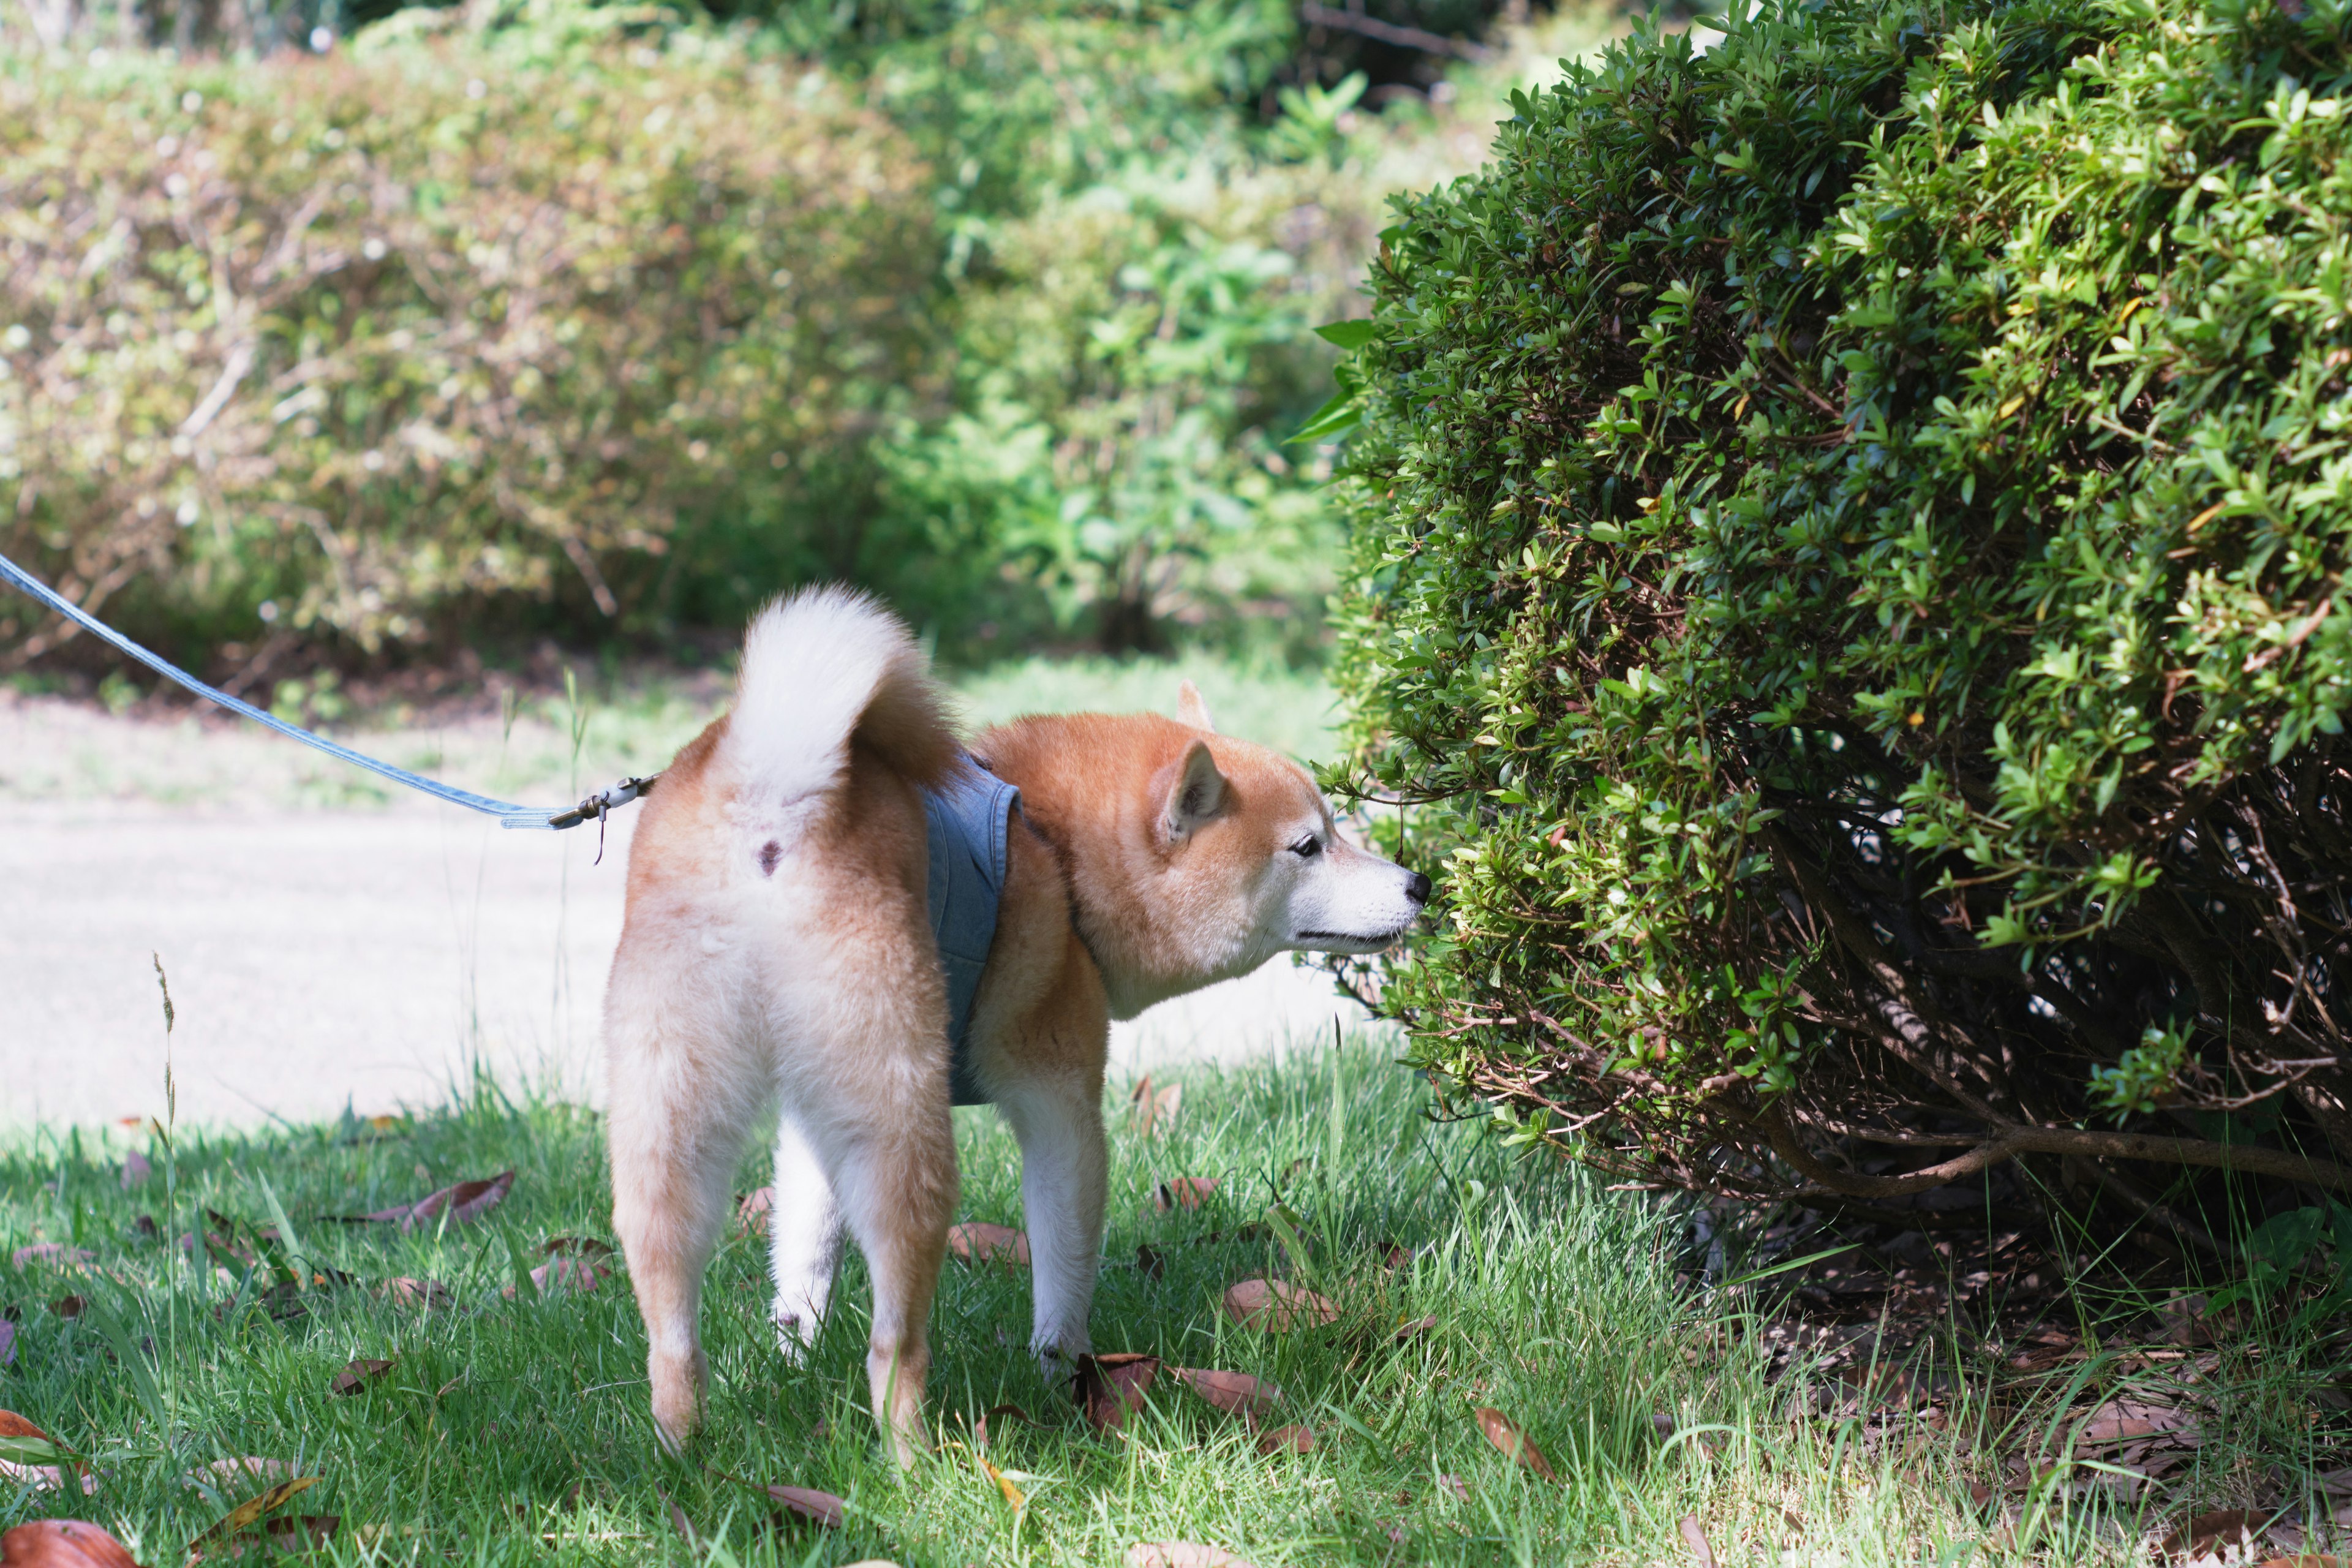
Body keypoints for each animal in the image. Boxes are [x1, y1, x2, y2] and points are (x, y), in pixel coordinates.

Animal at [597, 585, 1420, 1457]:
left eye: (1333, 830)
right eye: (1308, 846)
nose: (1421, 883)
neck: (1059, 851)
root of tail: (775, 791)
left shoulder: (813, 1118)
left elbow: (804, 1258)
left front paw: (794, 1361)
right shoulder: (1060, 1104)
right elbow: (1063, 1267)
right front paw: (1065, 1377)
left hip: (673, 1123)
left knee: (670, 1328)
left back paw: (683, 1450)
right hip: (904, 1128)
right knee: (894, 1341)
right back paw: (915, 1458)